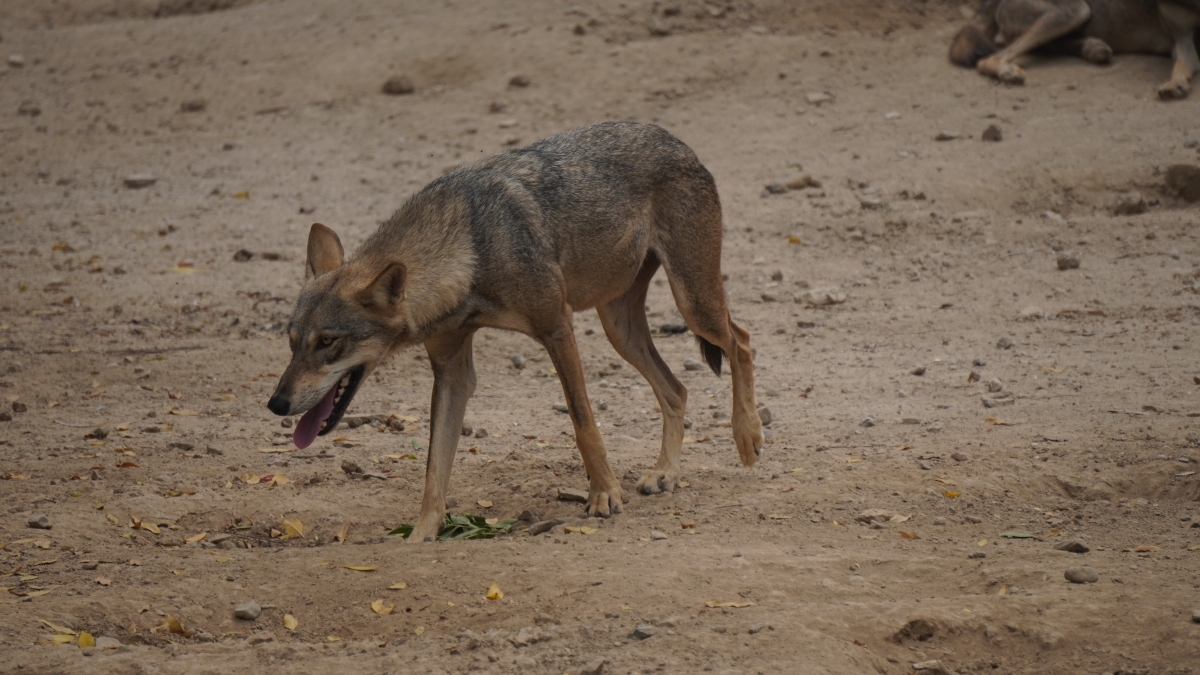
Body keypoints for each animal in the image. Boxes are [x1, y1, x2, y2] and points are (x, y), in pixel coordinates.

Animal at [267, 121, 763, 540]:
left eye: (328, 342)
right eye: (292, 344)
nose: (276, 404)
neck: (469, 249)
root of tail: (672, 137)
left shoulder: (557, 327)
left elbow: (583, 422)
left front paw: (603, 494)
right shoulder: (452, 371)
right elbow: (434, 469)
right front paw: (422, 535)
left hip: (693, 304)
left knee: (741, 341)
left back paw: (747, 437)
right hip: (619, 328)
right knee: (678, 389)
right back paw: (666, 473)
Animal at [950, 0, 1195, 98]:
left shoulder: (1185, 41)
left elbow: (1184, 65)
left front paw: (1177, 84)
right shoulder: (1182, 38)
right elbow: (1181, 65)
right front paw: (1176, 85)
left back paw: (1093, 47)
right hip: (1074, 12)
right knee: (988, 59)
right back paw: (1007, 71)